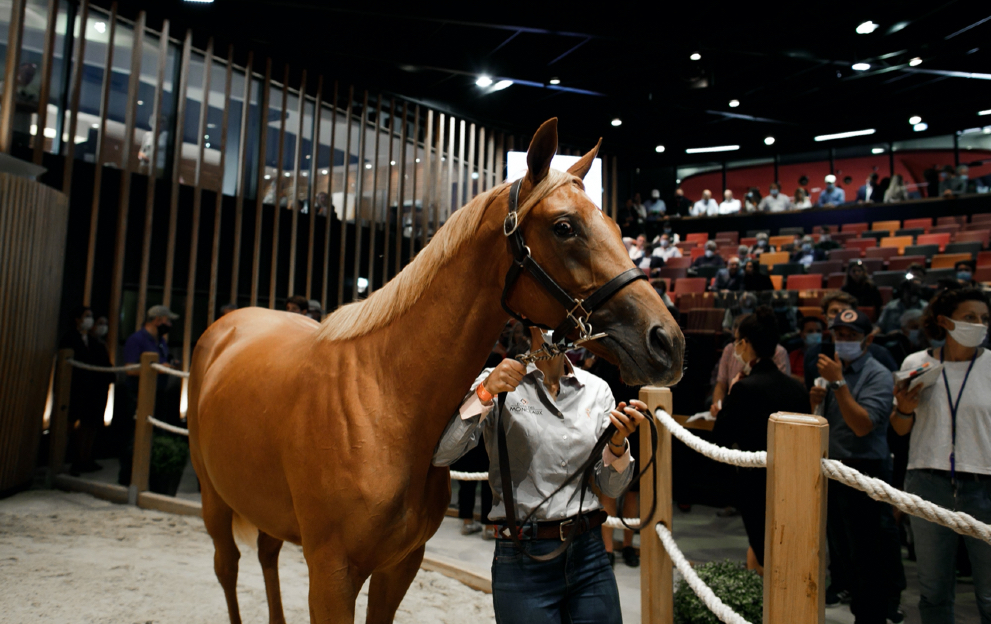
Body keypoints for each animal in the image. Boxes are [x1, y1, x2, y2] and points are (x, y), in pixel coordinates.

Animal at [187, 118, 684, 624]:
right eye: (564, 227)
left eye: (617, 226)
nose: (667, 342)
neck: (384, 398)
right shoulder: (331, 575)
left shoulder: (400, 566)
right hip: (214, 500)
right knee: (227, 566)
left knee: (267, 554)